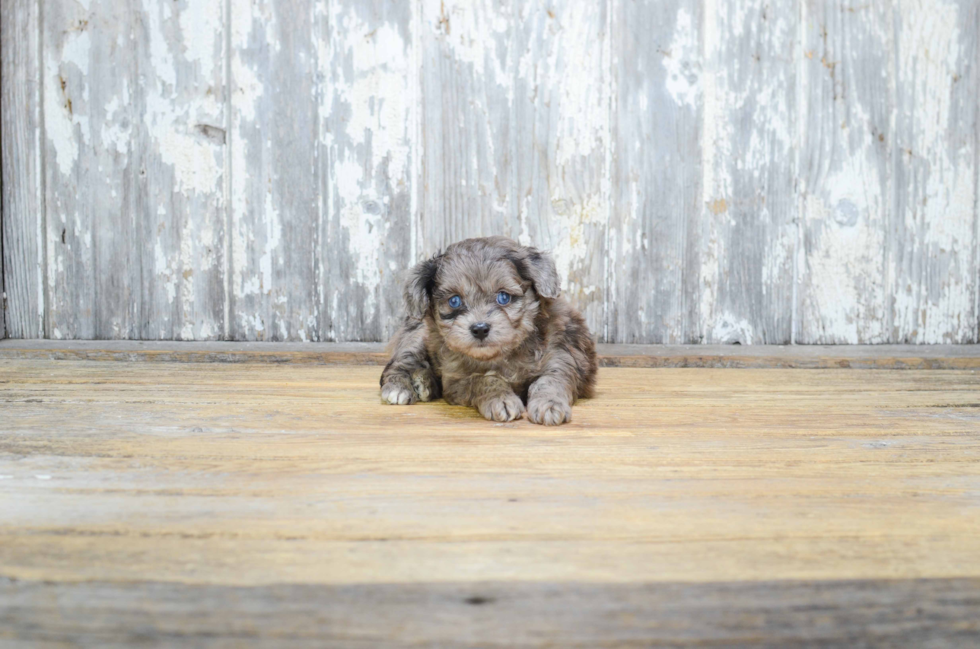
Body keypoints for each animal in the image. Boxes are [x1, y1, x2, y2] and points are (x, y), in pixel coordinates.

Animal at [380, 234, 596, 426]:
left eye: (503, 297)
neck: (501, 355)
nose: (480, 329)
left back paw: (424, 382)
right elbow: (482, 379)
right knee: (400, 363)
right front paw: (500, 398)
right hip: (416, 335)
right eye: (454, 301)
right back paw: (401, 387)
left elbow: (551, 380)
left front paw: (549, 404)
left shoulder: (561, 354)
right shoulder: (457, 379)